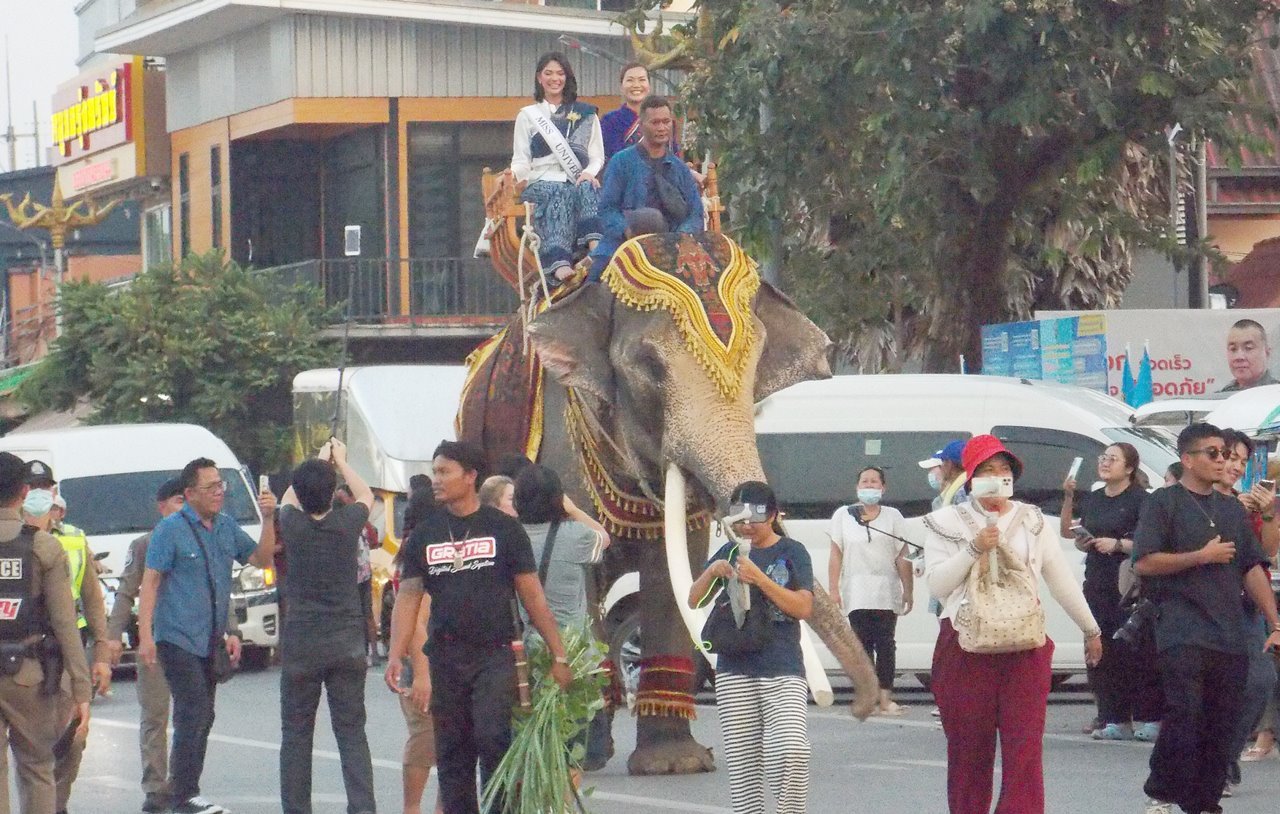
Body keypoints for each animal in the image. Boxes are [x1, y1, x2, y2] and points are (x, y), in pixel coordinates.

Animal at [460, 234, 880, 778]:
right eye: (650, 367)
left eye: (756, 365)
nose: (865, 707)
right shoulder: (560, 447)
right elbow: (580, 573)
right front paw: (590, 752)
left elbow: (673, 569)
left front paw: (674, 765)